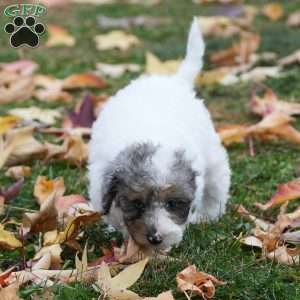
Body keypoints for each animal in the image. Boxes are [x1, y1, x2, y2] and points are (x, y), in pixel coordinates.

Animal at [88, 18, 231, 251]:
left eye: (172, 204)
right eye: (137, 203)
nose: (155, 238)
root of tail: (175, 81)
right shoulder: (100, 184)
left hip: (213, 157)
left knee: (216, 186)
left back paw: (208, 216)